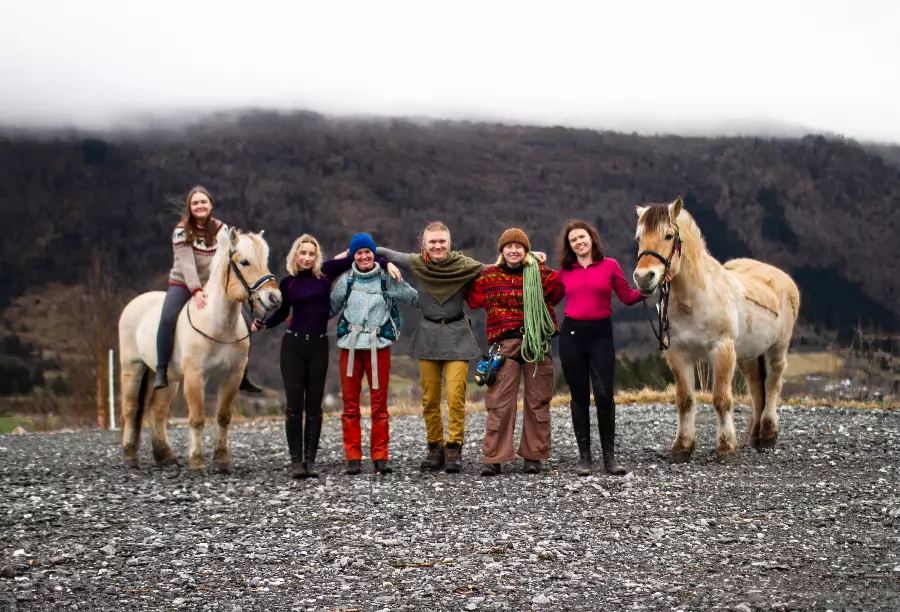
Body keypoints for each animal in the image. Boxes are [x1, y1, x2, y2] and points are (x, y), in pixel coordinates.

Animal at [117, 227, 282, 472]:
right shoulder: (195, 376)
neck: (218, 325)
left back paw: (165, 456)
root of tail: (136, 302)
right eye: (244, 262)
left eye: (265, 261)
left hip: (169, 379)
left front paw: (221, 461)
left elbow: (223, 417)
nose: (275, 298)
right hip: (133, 368)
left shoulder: (232, 377)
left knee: (157, 410)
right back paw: (130, 457)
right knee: (130, 407)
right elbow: (196, 418)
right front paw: (196, 461)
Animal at [633, 196, 800, 463]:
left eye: (668, 235)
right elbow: (685, 400)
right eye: (639, 237)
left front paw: (726, 447)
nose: (643, 277)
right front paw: (682, 447)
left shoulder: (722, 350)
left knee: (774, 382)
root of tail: (782, 277)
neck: (695, 298)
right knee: (756, 386)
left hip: (777, 348)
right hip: (748, 355)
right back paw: (754, 435)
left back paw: (768, 434)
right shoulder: (677, 355)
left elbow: (722, 399)